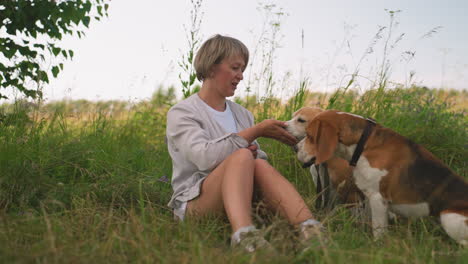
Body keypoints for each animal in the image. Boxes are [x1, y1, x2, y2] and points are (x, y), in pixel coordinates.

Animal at [296, 109, 468, 245]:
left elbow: (378, 230)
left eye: (309, 136)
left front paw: (376, 246)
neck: (363, 144)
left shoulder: (377, 198)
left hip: (448, 217)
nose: (295, 148)